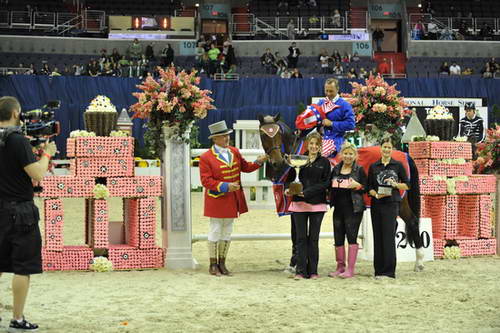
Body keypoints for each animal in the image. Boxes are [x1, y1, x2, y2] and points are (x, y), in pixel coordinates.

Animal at [258, 113, 426, 272]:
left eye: (278, 133)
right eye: (263, 134)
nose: (276, 161)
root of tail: (405, 154)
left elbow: (295, 234)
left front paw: (293, 264)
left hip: (400, 201)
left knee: (411, 221)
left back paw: (419, 262)